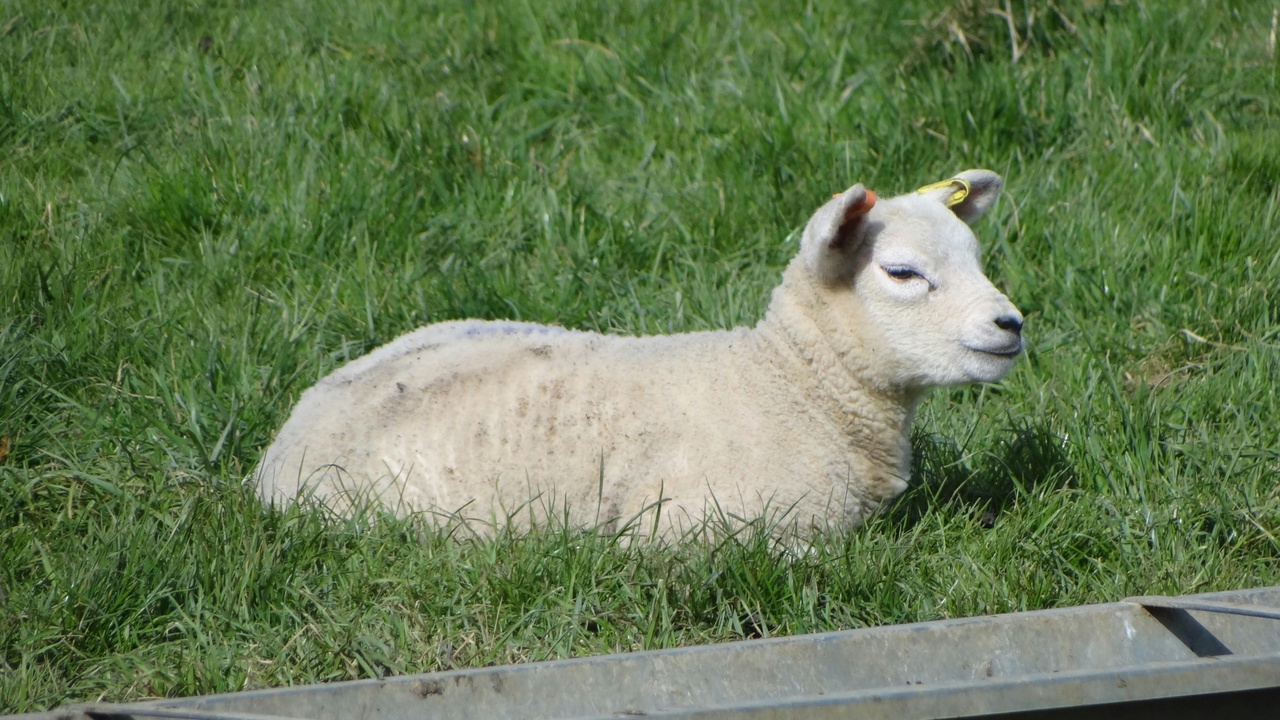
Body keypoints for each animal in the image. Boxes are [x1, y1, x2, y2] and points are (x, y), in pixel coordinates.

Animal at [255, 169, 1024, 538]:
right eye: (902, 273)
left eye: (975, 255)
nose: (1011, 323)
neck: (792, 385)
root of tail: (280, 446)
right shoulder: (695, 532)